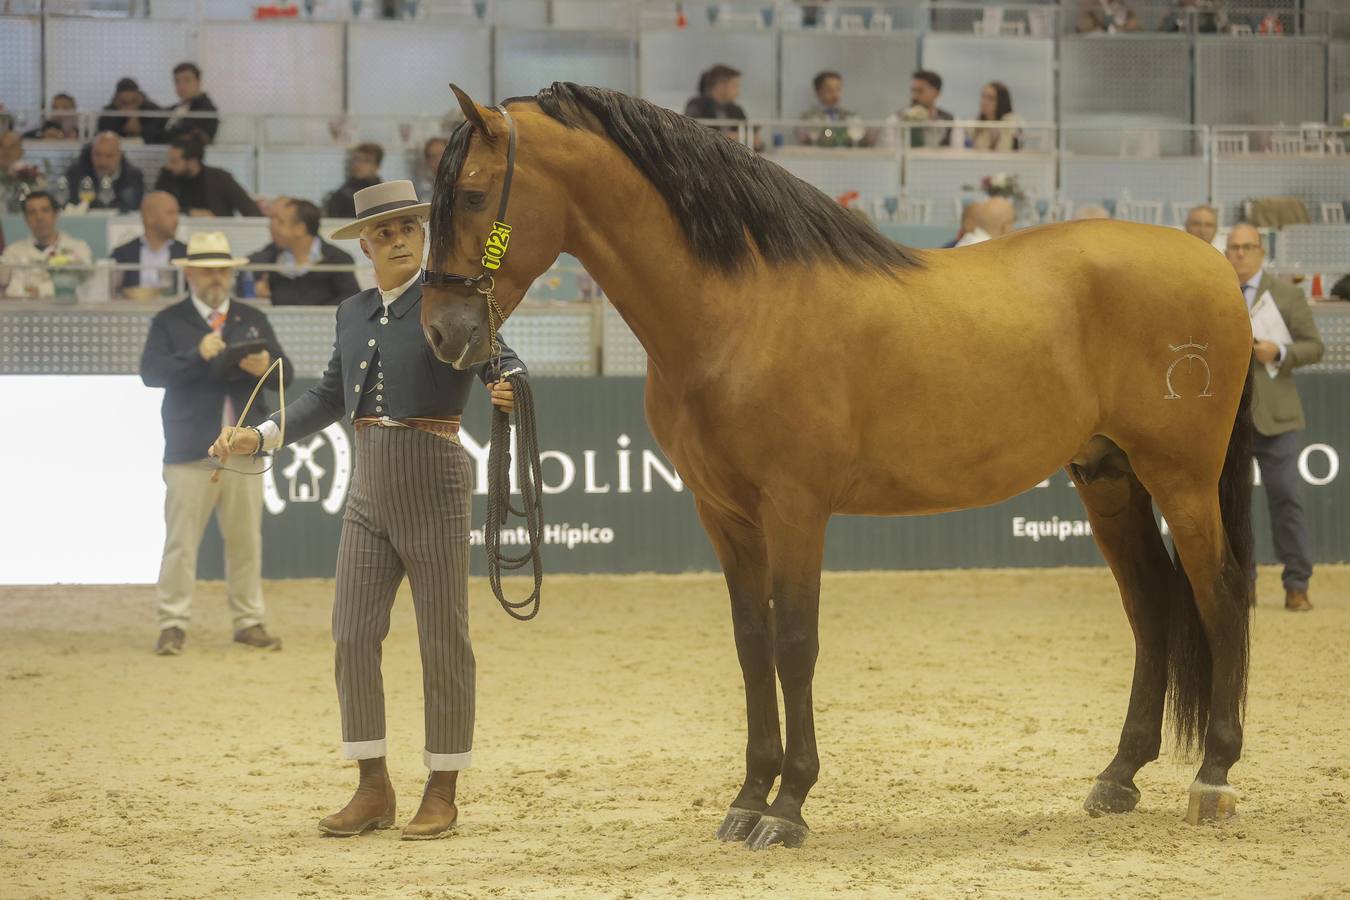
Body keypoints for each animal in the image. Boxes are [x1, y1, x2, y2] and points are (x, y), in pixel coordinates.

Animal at [418, 80, 1252, 847]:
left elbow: (795, 644)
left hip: (1181, 479)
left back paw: (1213, 776)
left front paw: (788, 807)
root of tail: (1214, 265)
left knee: (1219, 597)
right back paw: (1119, 776)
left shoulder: (796, 507)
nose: (440, 333)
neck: (741, 311)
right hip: (1108, 478)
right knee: (1151, 605)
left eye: (472, 194)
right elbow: (752, 642)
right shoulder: (723, 512)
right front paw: (748, 798)